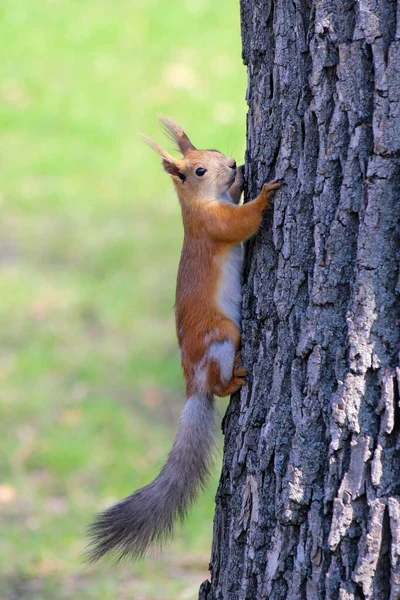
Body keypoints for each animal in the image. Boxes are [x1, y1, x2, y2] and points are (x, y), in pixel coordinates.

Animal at [87, 118, 282, 564]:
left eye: (214, 151)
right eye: (198, 171)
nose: (233, 163)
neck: (198, 205)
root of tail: (192, 383)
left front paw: (242, 178)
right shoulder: (213, 226)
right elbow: (240, 224)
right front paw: (264, 194)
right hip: (222, 336)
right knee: (220, 379)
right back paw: (233, 380)